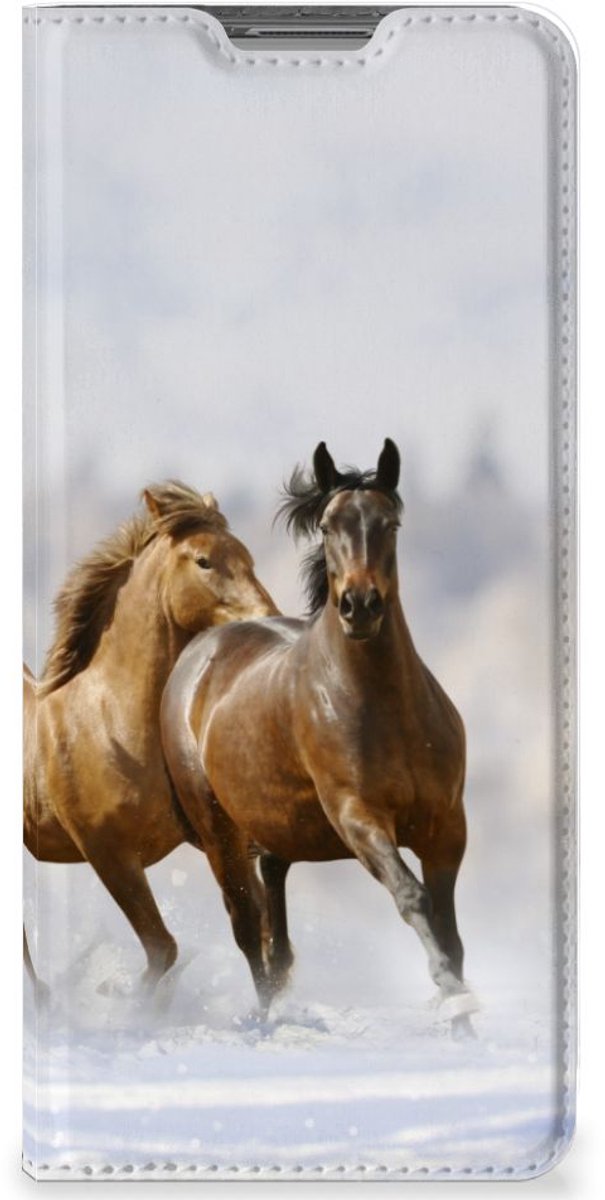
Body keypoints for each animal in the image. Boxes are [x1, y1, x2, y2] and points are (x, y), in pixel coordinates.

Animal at [23, 481, 277, 996]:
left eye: (247, 557)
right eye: (203, 561)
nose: (268, 618)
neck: (111, 724)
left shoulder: (218, 840)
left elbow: (253, 929)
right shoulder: (109, 855)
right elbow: (163, 949)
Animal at [161, 441, 478, 1034]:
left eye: (390, 523)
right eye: (329, 526)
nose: (360, 605)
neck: (385, 709)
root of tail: (199, 653)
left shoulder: (446, 826)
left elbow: (449, 928)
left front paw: (464, 1022)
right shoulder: (358, 817)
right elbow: (413, 898)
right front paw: (452, 997)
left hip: (276, 830)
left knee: (274, 921)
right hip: (219, 833)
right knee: (248, 927)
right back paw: (266, 1020)